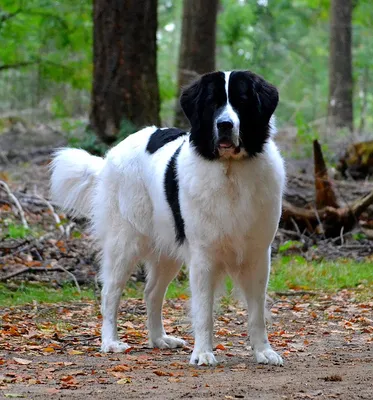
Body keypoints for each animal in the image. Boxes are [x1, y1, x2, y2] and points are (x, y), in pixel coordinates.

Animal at [50, 69, 284, 366]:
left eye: (242, 102)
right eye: (212, 104)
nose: (225, 125)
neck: (230, 171)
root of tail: (110, 157)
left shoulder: (258, 255)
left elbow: (257, 312)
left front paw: (264, 351)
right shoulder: (203, 256)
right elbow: (203, 311)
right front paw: (203, 353)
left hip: (167, 248)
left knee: (151, 293)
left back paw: (159, 339)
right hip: (124, 242)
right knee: (110, 292)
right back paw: (110, 342)